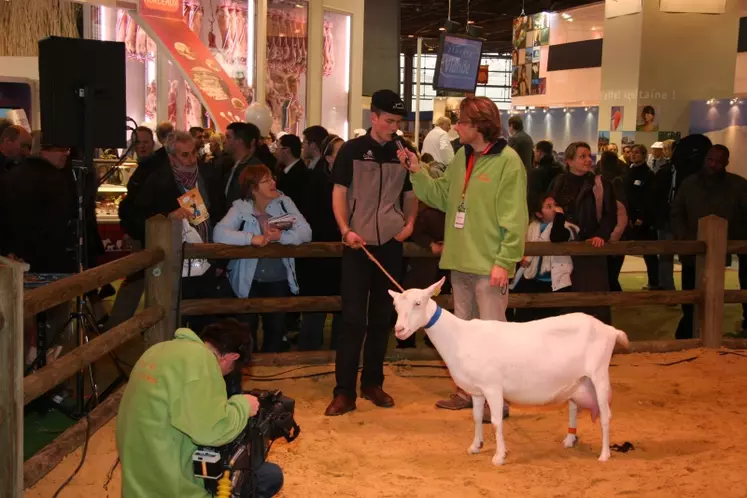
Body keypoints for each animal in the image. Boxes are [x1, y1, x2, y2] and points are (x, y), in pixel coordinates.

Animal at [392, 278, 632, 464]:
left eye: (418, 303)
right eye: (395, 307)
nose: (399, 330)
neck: (459, 335)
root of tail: (610, 330)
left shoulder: (493, 387)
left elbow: (496, 422)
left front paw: (499, 456)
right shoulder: (477, 391)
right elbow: (476, 417)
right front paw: (475, 446)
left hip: (599, 375)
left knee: (606, 415)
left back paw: (604, 454)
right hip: (578, 380)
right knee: (574, 408)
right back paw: (569, 440)